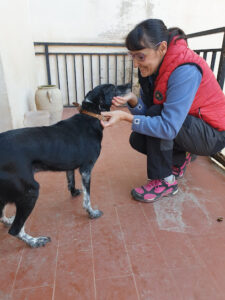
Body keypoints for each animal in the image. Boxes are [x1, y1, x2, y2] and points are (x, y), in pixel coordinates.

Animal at [0, 83, 130, 247]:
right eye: (113, 88)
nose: (130, 84)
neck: (90, 115)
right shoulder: (86, 170)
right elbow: (87, 198)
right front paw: (91, 213)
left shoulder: (70, 166)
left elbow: (70, 182)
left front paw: (74, 192)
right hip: (30, 191)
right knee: (16, 230)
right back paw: (35, 241)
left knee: (2, 215)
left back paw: (9, 221)